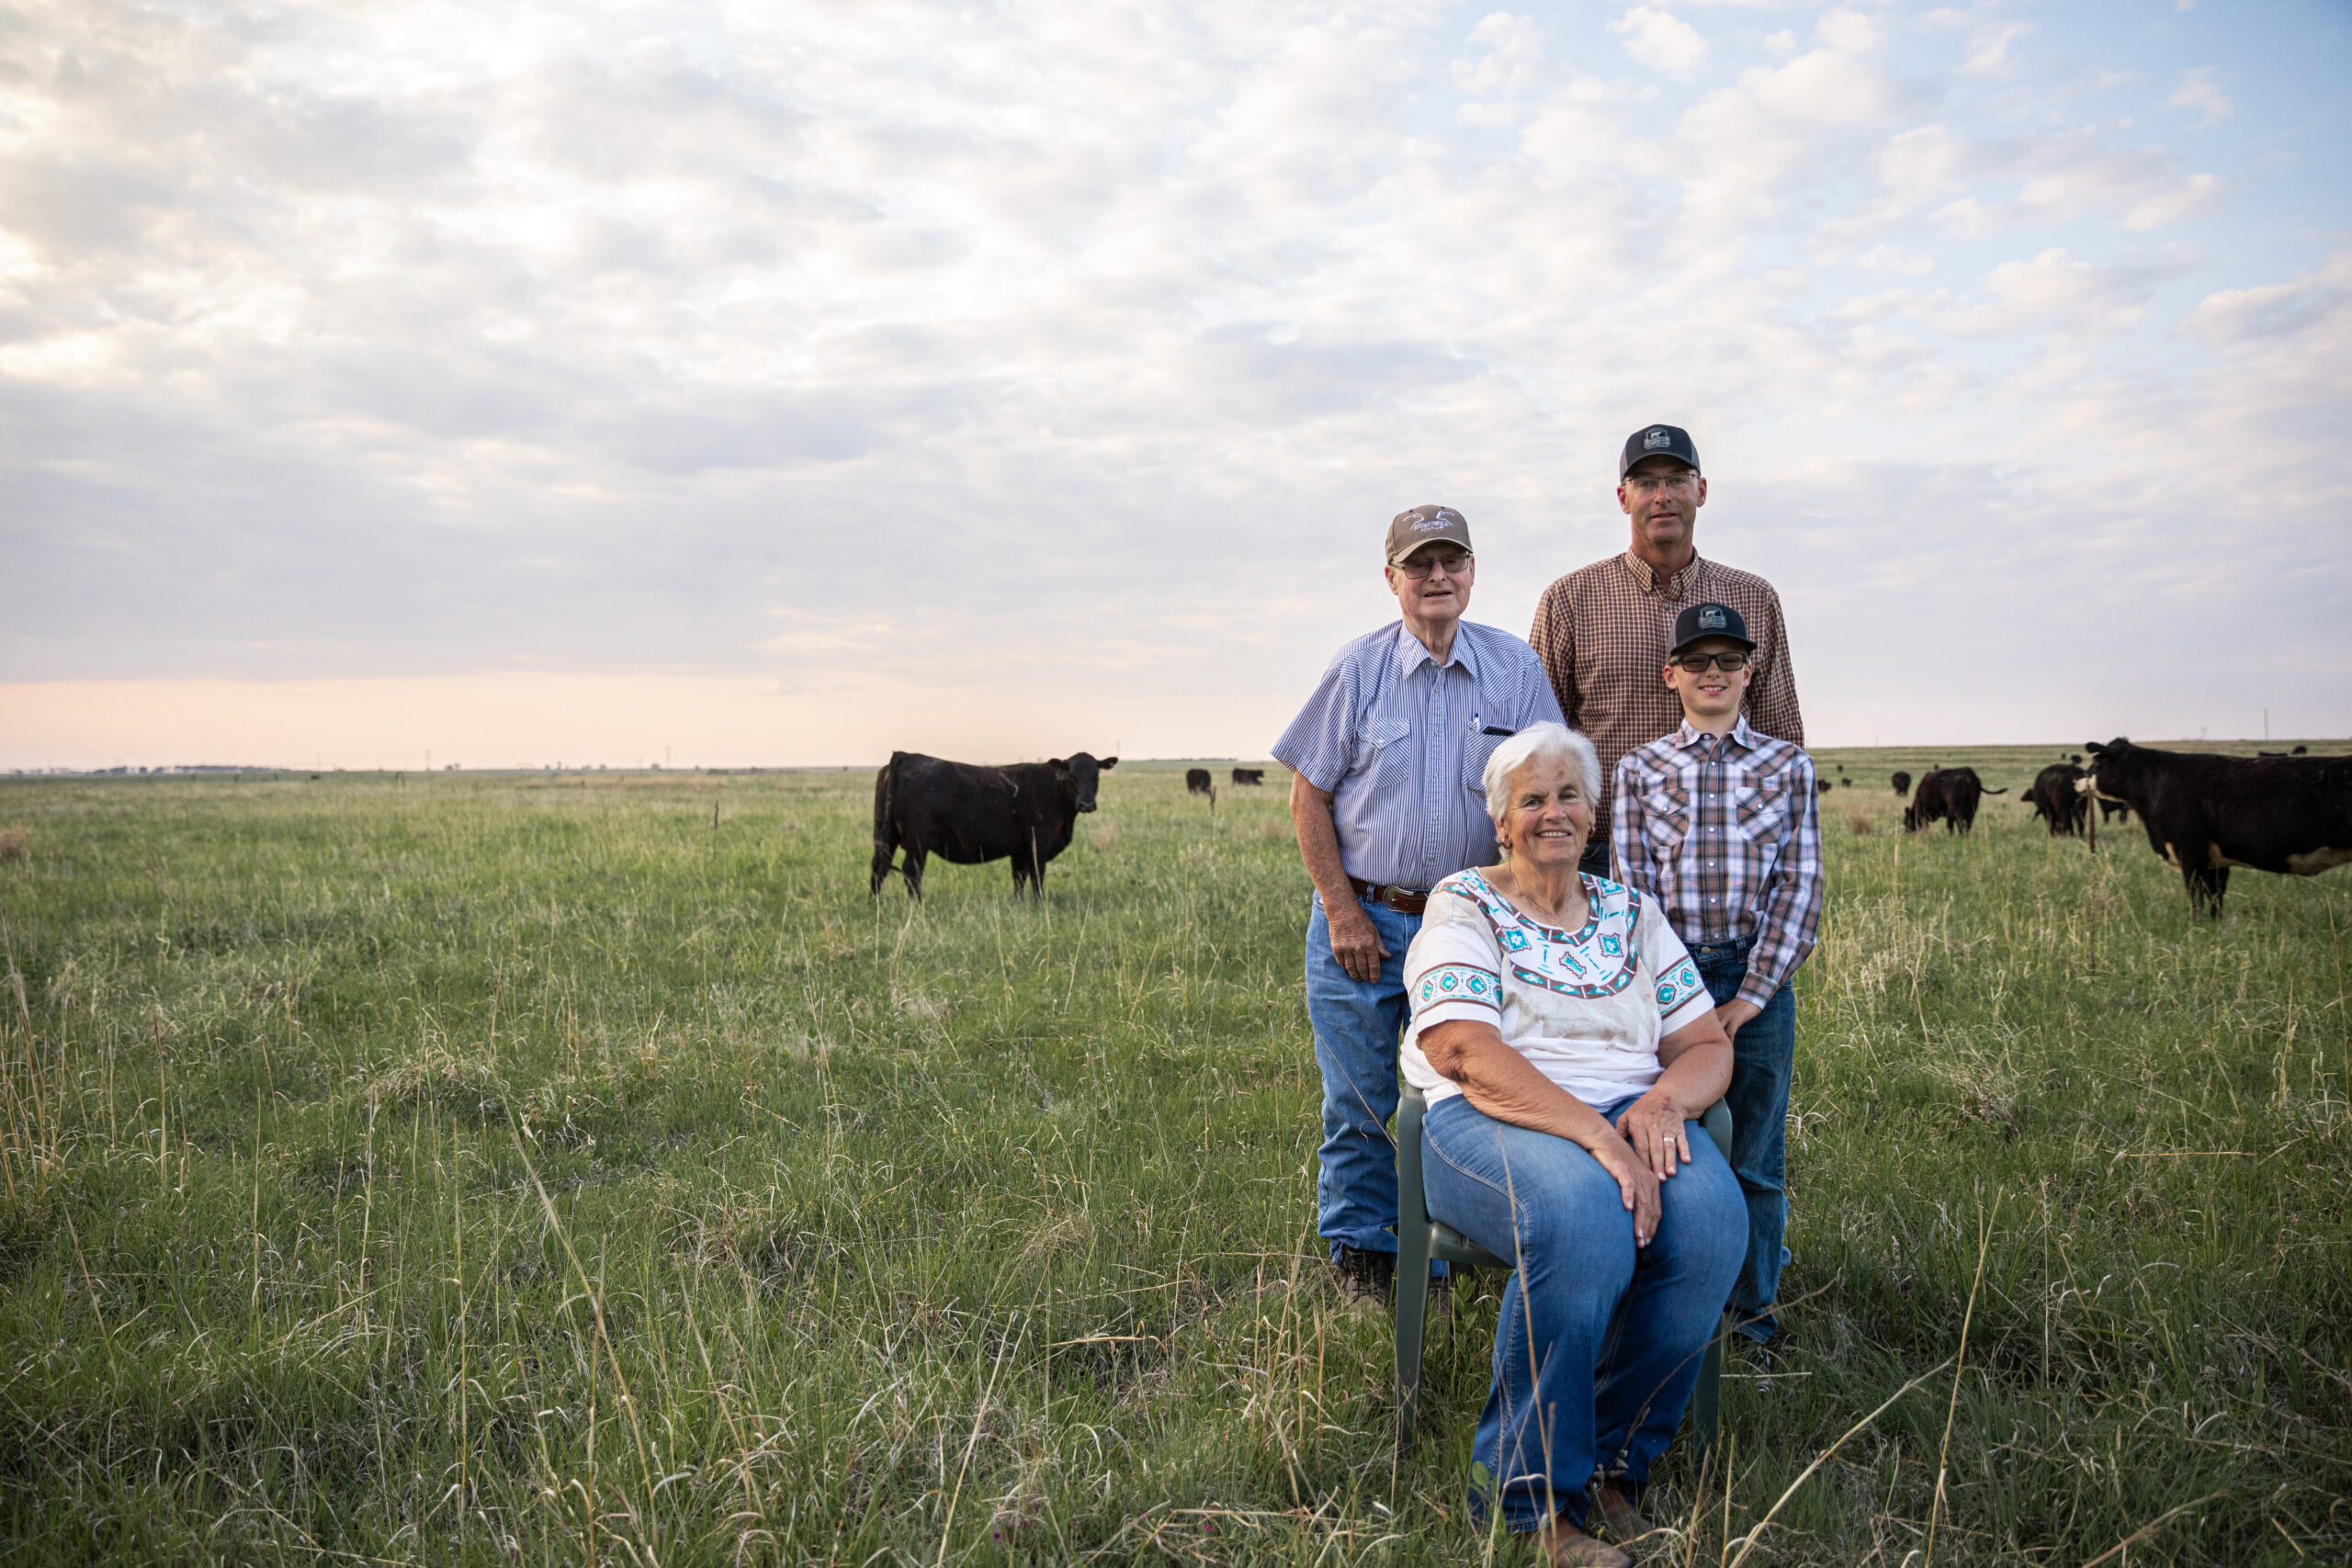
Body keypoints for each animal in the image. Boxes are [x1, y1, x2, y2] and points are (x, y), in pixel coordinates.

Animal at [875, 751, 1119, 902]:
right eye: (1072, 776)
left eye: (1096, 775)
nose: (1087, 804)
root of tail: (906, 756)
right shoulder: (1037, 844)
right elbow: (1037, 876)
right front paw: (1039, 905)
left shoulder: (1019, 850)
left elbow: (1019, 878)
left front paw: (1019, 904)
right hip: (917, 842)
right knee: (911, 872)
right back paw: (917, 905)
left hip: (886, 836)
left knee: (879, 868)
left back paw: (875, 905)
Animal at [2079, 738, 2352, 921]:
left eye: (2096, 762)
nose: (2077, 780)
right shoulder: (2215, 860)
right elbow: (2216, 896)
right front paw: (2214, 925)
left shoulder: (2189, 851)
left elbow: (2196, 895)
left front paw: (2196, 926)